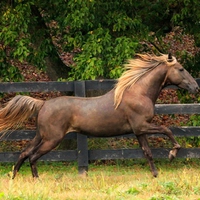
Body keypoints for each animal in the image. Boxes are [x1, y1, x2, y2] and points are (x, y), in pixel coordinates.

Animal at [0, 53, 198, 178]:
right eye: (181, 69)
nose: (196, 87)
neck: (138, 92)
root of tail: (43, 104)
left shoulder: (139, 131)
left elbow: (147, 152)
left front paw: (155, 174)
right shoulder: (142, 125)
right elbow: (166, 129)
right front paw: (172, 153)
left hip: (40, 136)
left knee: (24, 152)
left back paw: (13, 176)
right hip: (52, 139)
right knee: (33, 156)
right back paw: (36, 179)